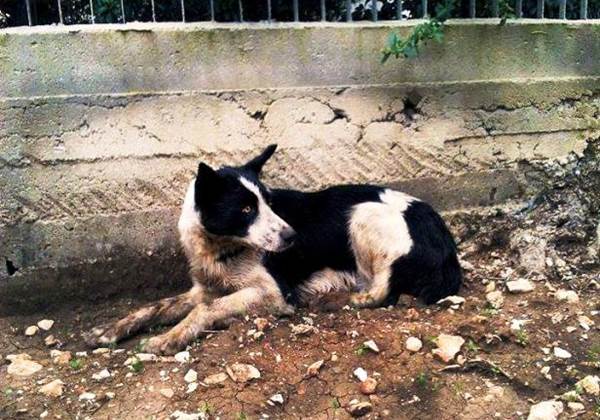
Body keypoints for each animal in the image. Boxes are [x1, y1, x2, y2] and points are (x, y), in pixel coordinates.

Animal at [83, 145, 460, 354]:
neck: (224, 249)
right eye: (247, 209)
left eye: (268, 201)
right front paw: (110, 330)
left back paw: (349, 299)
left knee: (384, 289)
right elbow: (155, 307)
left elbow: (208, 309)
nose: (293, 237)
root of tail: (444, 239)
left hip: (364, 214)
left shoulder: (273, 294)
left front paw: (171, 337)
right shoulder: (203, 287)